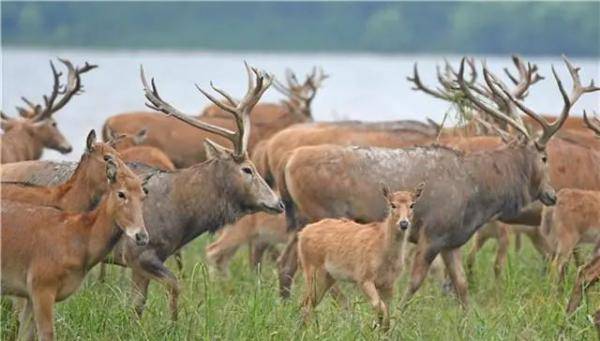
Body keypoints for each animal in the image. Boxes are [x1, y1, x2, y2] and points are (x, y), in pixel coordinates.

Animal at [0, 158, 149, 340]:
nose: (141, 236)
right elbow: (47, 334)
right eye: (121, 193)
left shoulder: (29, 293)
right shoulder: (42, 285)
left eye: (143, 196)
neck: (80, 238)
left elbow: (25, 335)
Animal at [276, 57, 596, 304]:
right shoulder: (432, 234)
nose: (553, 194)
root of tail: (285, 162)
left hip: (302, 218)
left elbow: (463, 286)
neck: (479, 198)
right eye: (545, 157)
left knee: (286, 263)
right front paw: (398, 317)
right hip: (319, 212)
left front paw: (470, 323)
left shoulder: (452, 240)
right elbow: (414, 283)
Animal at [296, 183, 422, 330]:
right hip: (313, 269)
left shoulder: (389, 283)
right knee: (306, 304)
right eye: (392, 204)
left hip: (327, 277)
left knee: (306, 303)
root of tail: (302, 233)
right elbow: (379, 307)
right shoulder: (363, 276)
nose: (404, 223)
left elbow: (387, 316)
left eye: (412, 205)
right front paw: (373, 328)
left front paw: (380, 330)